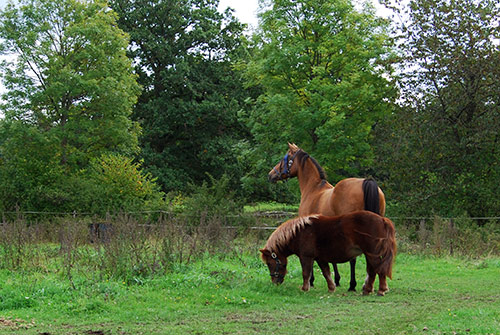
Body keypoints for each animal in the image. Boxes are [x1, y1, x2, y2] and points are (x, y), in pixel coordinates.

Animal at [260, 213, 396, 296]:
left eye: (269, 263)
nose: (275, 282)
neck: (299, 233)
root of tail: (382, 219)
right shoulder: (320, 259)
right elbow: (326, 273)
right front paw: (331, 288)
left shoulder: (306, 257)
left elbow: (306, 273)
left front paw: (305, 289)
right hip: (370, 254)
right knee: (373, 271)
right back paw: (369, 290)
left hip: (372, 254)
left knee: (378, 270)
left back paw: (380, 290)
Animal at [268, 142, 384, 292]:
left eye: (284, 159)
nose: (271, 175)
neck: (313, 188)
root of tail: (366, 181)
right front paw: (336, 280)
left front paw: (312, 281)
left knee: (355, 258)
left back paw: (353, 285)